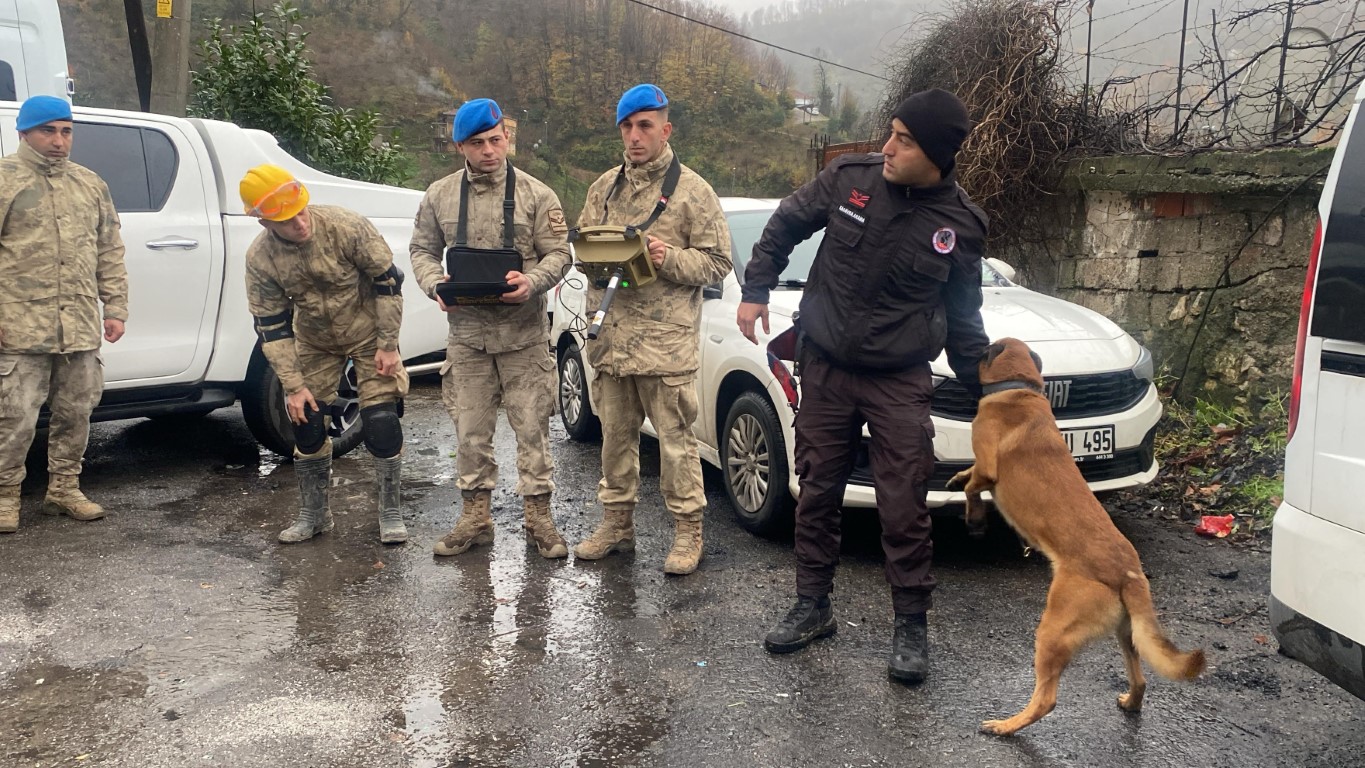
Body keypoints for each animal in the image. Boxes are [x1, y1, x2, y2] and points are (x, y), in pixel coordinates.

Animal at [950, 339, 1206, 736]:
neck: (1020, 390)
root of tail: (1128, 574)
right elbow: (968, 476)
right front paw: (957, 479)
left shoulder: (989, 466)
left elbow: (975, 485)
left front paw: (973, 516)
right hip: (1127, 634)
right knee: (1141, 680)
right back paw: (1130, 703)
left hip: (1053, 630)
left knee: (1046, 700)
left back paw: (1006, 725)